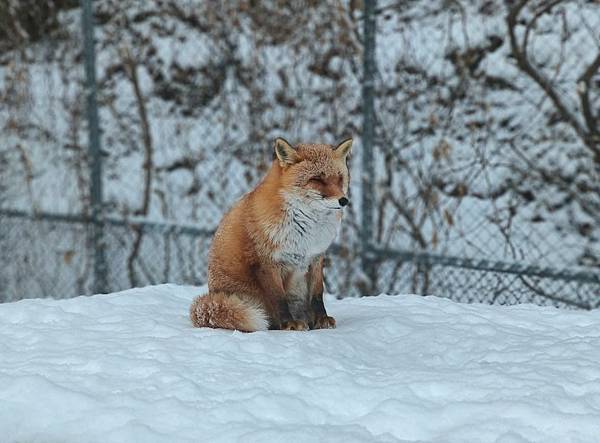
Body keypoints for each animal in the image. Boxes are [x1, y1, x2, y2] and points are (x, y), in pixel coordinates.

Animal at [191, 139, 352, 332]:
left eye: (339, 178)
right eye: (316, 179)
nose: (344, 200)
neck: (306, 232)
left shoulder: (315, 257)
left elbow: (317, 295)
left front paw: (321, 320)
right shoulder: (267, 262)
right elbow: (279, 299)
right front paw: (289, 324)